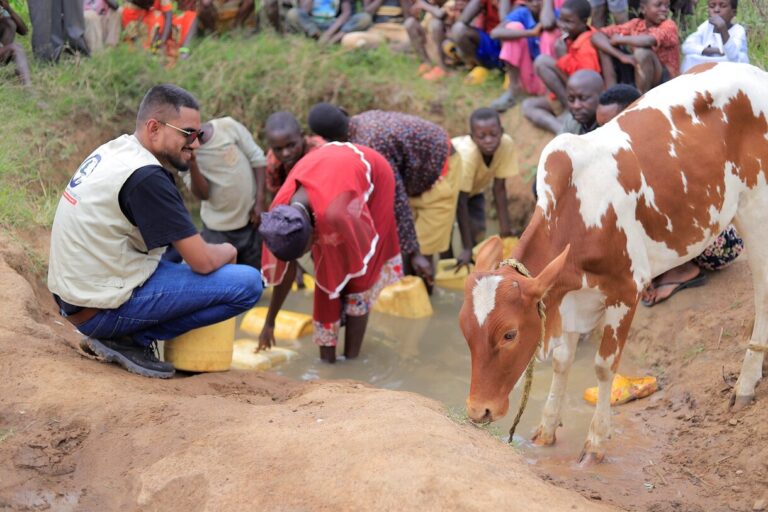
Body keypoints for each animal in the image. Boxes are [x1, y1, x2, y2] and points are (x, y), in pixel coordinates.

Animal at [460, 62, 768, 462]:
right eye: (465, 329)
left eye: (510, 333)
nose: (478, 409)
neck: (579, 211)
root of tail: (753, 71)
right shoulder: (567, 293)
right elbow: (562, 360)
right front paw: (546, 431)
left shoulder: (626, 290)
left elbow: (604, 366)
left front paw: (595, 442)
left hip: (756, 208)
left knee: (762, 292)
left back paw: (746, 382)